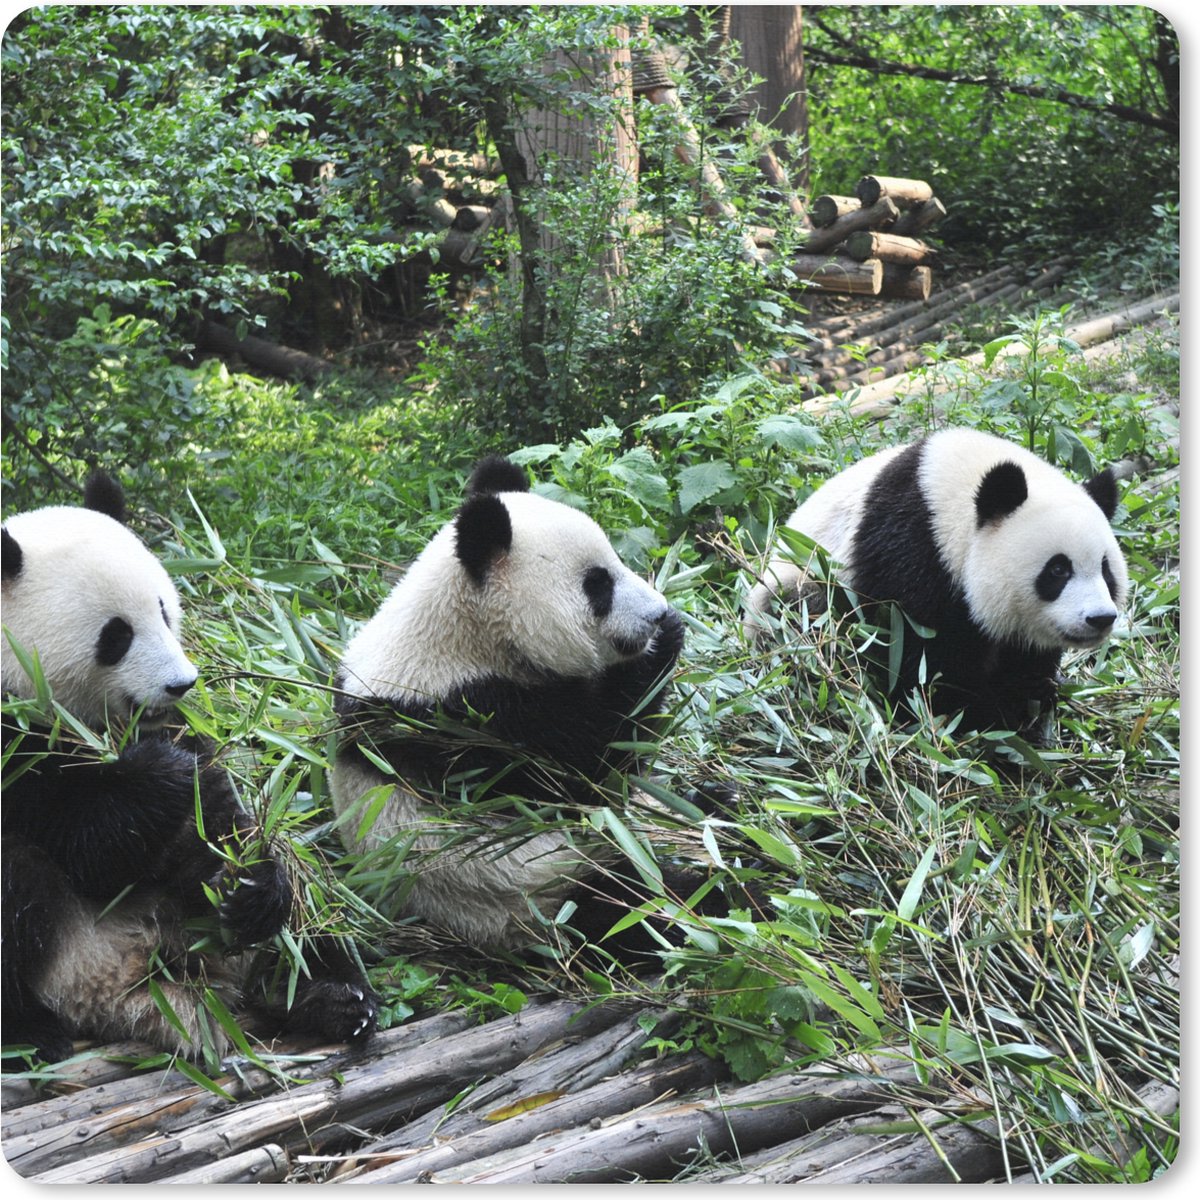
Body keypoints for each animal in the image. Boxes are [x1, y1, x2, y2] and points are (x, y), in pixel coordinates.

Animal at [1, 472, 377, 1066]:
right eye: (115, 635)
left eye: (163, 611)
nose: (182, 684)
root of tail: (121, 988)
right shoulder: (9, 745)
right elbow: (89, 847)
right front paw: (163, 771)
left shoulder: (182, 730)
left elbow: (216, 826)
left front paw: (249, 886)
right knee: (16, 876)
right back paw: (29, 1031)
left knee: (310, 919)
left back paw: (330, 996)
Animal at [331, 455, 702, 956]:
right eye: (597, 585)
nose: (658, 612)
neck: (466, 635)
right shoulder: (466, 723)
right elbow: (586, 774)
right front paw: (661, 647)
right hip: (531, 892)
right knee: (634, 907)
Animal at [745, 428, 1128, 733]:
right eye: (1058, 570)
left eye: (1106, 570)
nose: (1099, 618)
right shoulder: (909, 552)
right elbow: (917, 658)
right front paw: (981, 713)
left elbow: (1024, 657)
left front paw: (1029, 696)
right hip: (802, 583)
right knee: (802, 615)